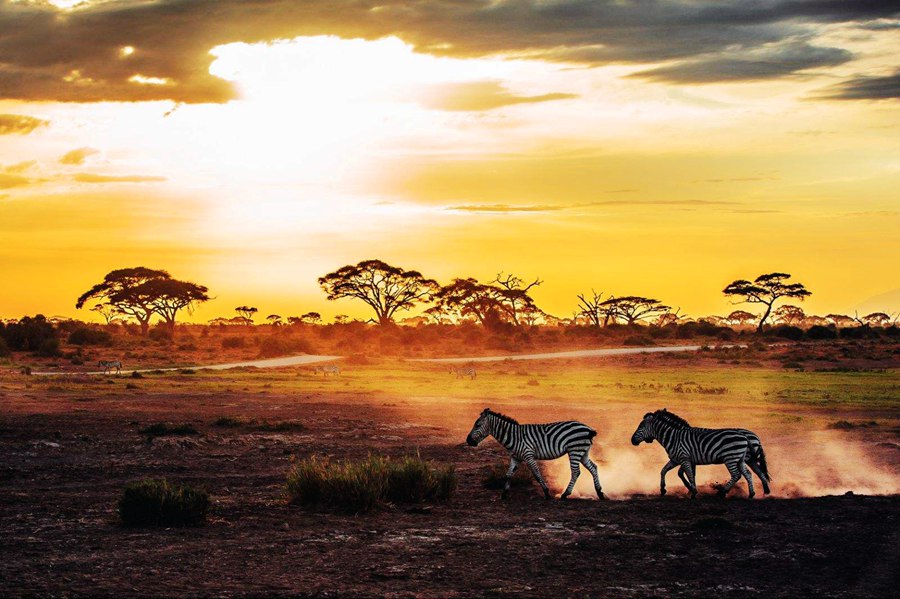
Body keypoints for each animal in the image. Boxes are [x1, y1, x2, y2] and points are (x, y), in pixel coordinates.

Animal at [464, 408, 604, 502]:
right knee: (593, 467)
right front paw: (504, 494)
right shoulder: (515, 457)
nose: (468, 441)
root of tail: (588, 429)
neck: (514, 437)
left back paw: (565, 494)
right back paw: (600, 492)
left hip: (575, 450)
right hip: (583, 452)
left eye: (478, 425)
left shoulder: (528, 455)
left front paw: (547, 493)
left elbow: (536, 474)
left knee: (575, 472)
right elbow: (508, 475)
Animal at [628, 408, 764, 502]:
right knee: (748, 473)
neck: (673, 437)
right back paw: (751, 494)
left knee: (736, 474)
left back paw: (722, 492)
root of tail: (745, 437)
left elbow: (689, 475)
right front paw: (663, 489)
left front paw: (693, 492)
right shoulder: (676, 459)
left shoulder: (684, 458)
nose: (632, 440)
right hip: (739, 459)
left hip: (730, 458)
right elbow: (664, 471)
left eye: (641, 426)